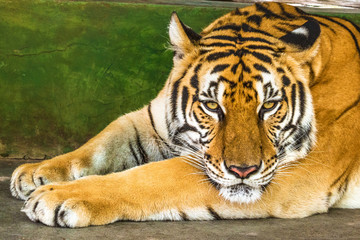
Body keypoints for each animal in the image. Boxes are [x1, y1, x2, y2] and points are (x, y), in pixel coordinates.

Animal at [9, 2, 360, 227]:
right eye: (212, 105)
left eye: (269, 106)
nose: (244, 171)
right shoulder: (152, 120)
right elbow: (102, 141)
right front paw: (34, 173)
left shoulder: (293, 171)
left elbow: (152, 177)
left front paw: (56, 197)